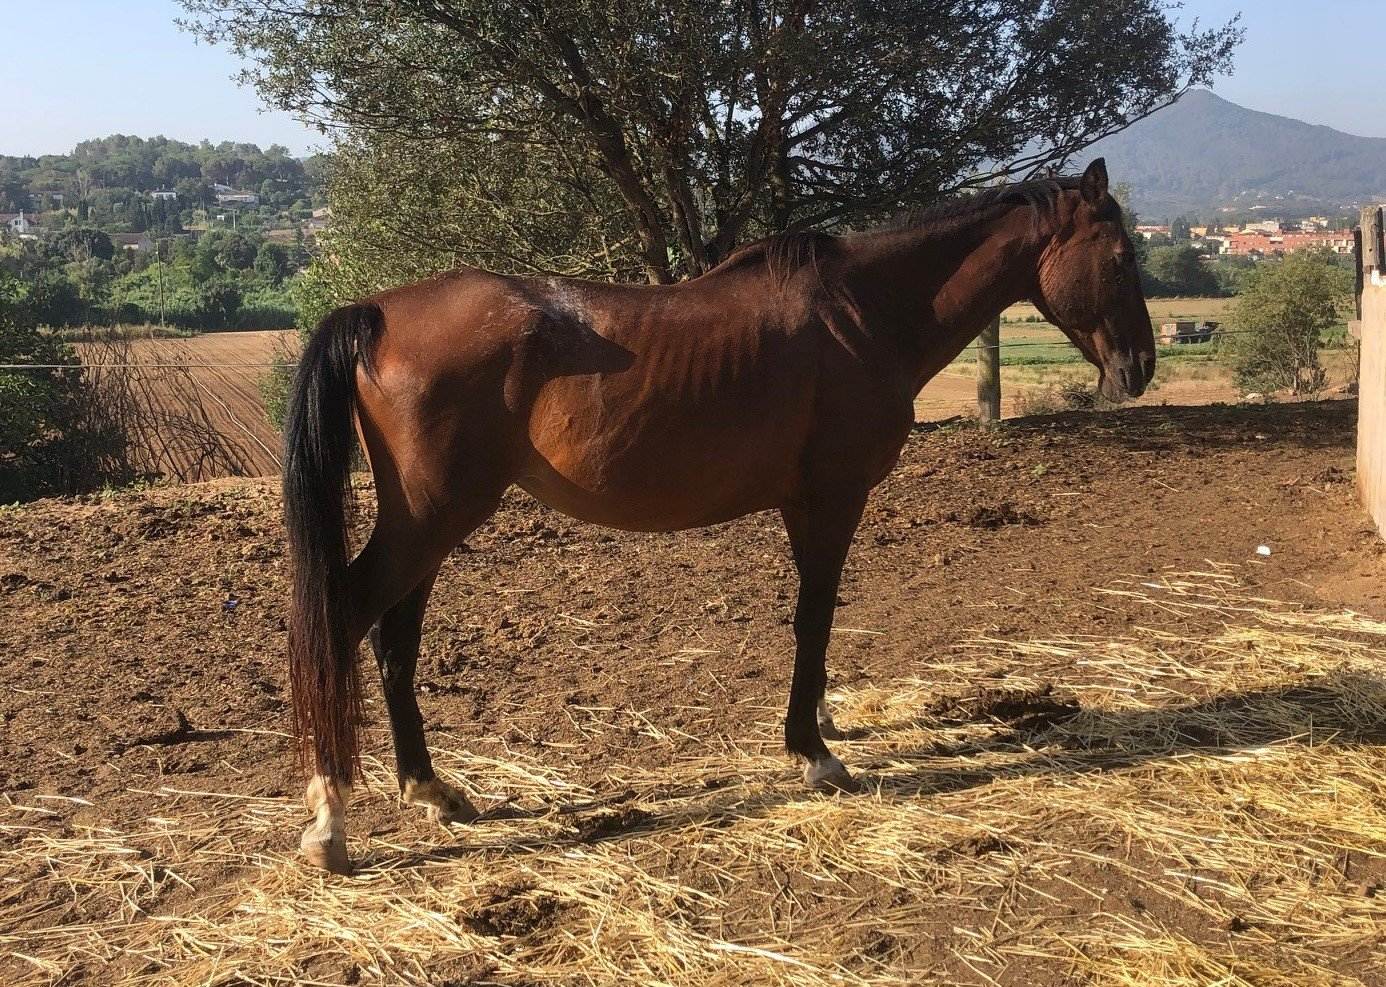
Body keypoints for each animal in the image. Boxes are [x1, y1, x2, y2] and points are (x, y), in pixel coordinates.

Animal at [284, 158, 1158, 876]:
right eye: (1120, 257)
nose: (1141, 367)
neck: (860, 313)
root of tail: (375, 311)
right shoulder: (832, 497)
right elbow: (815, 616)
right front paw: (815, 753)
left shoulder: (806, 504)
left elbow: (814, 618)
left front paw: (822, 721)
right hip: (431, 519)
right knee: (344, 619)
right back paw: (331, 823)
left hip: (430, 526)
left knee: (395, 645)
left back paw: (433, 791)